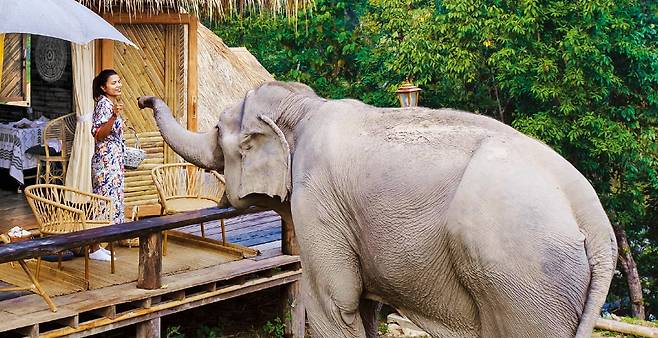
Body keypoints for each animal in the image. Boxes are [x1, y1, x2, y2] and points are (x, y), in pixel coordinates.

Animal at [138, 82, 616, 338]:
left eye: (219, 132)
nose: (142, 100)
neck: (303, 108)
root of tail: (597, 225)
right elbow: (363, 307)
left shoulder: (318, 201)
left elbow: (334, 302)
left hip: (521, 276)